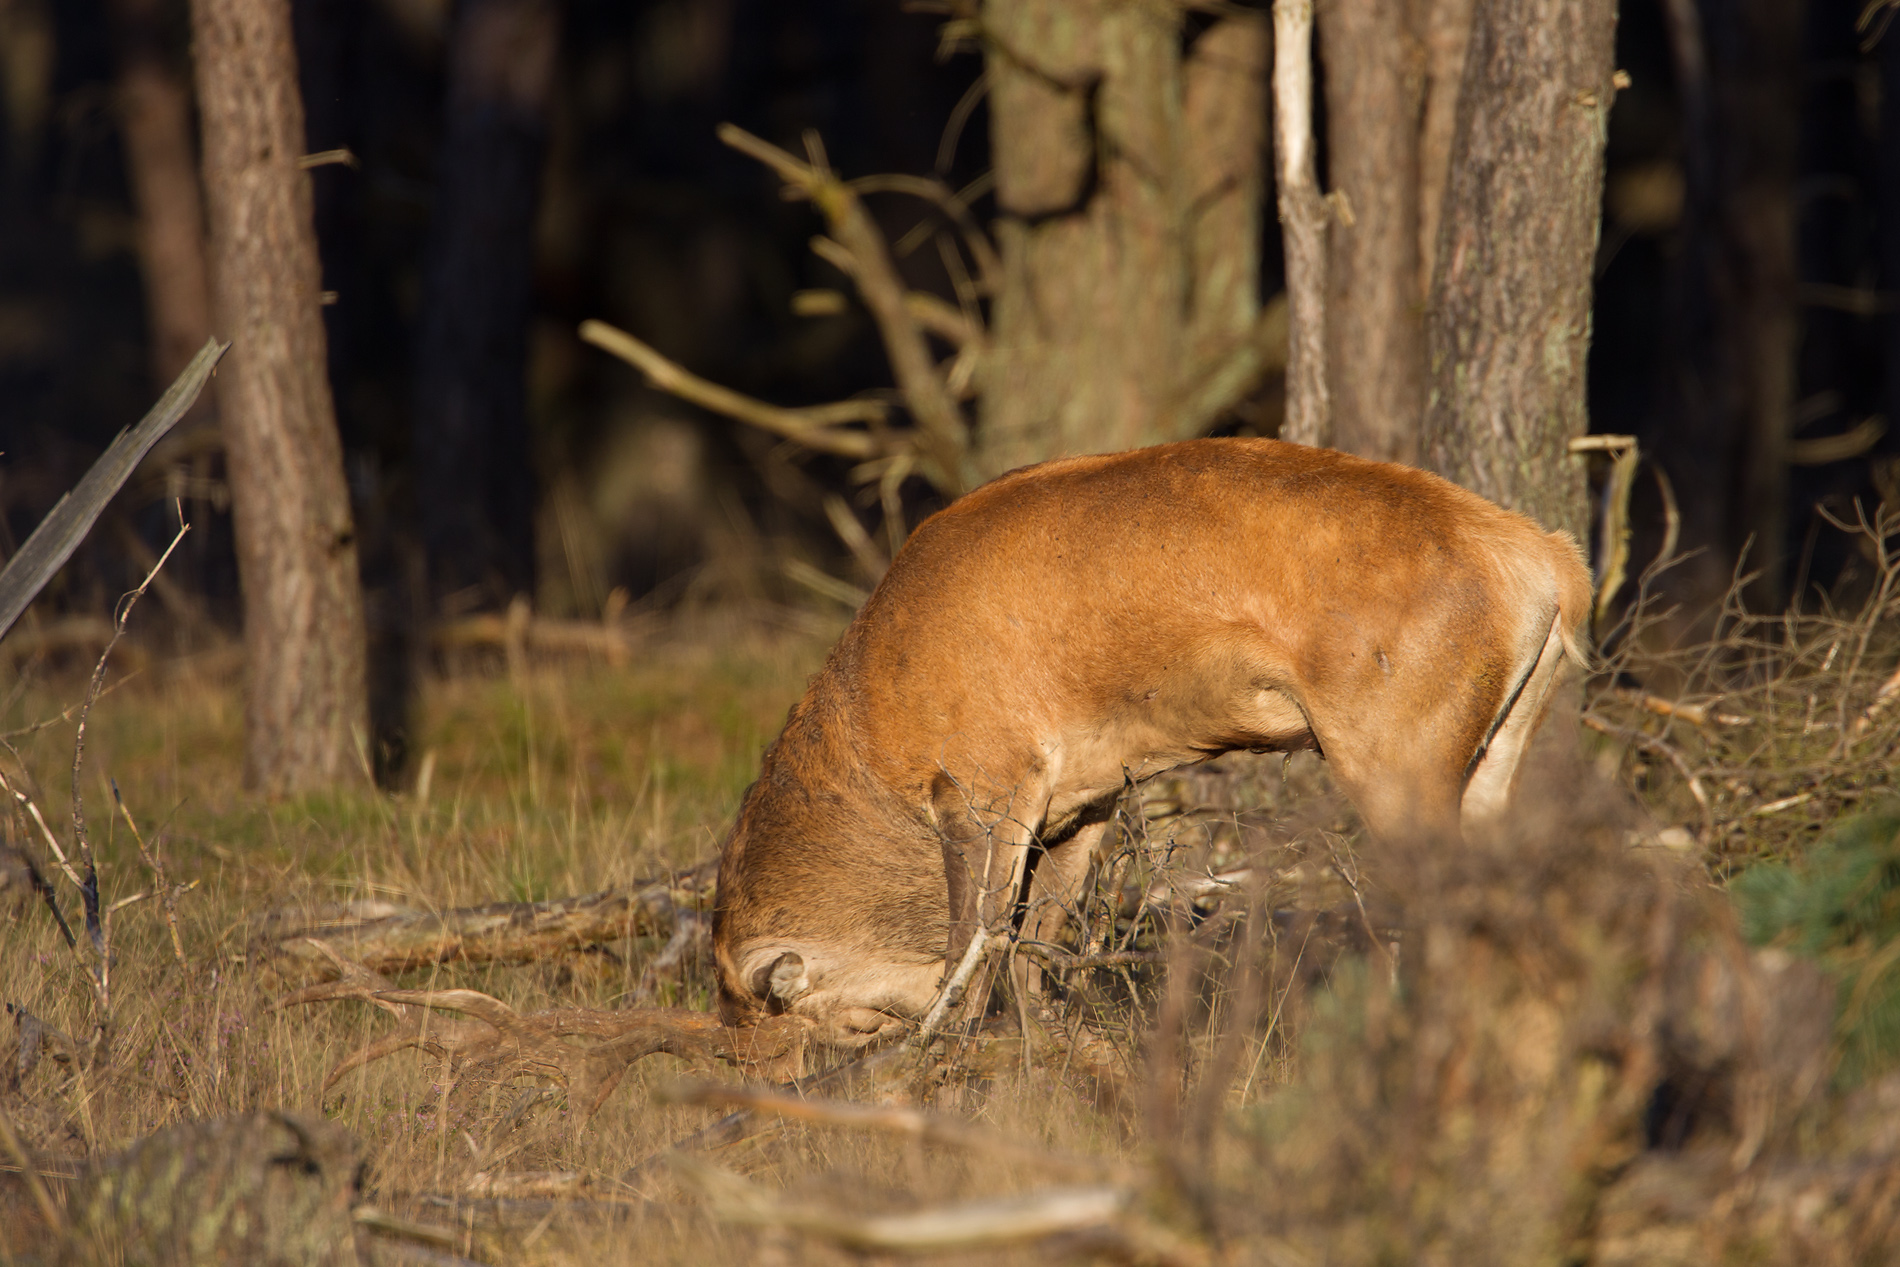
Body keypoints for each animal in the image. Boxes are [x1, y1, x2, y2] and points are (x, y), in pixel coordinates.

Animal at [714, 440, 1588, 1056]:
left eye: (794, 1015)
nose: (767, 1073)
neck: (876, 731)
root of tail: (1552, 562)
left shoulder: (985, 781)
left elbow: (972, 953)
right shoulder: (1082, 801)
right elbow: (1036, 953)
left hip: (1395, 747)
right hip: (1496, 755)